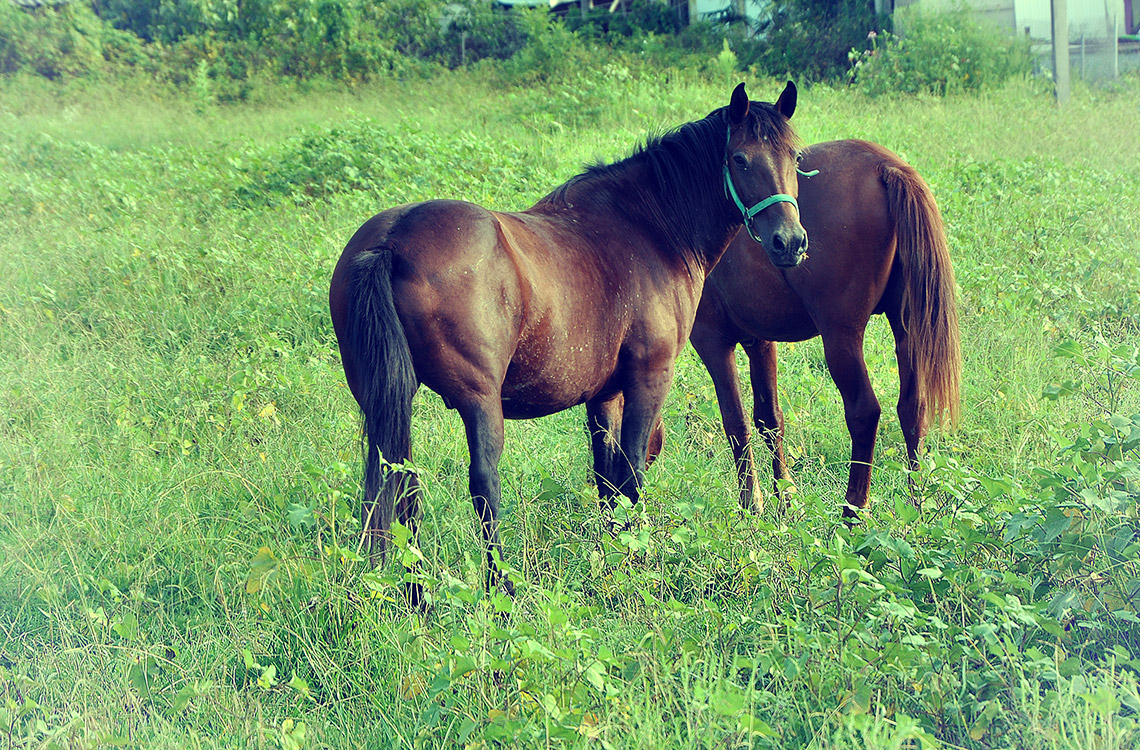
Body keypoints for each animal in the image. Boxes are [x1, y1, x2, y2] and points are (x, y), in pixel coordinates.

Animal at [332, 83, 811, 597]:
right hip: (480, 401)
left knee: (400, 485)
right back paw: (500, 588)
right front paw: (637, 559)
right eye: (740, 159)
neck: (652, 227)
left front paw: (612, 552)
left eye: (795, 156)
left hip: (386, 400)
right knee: (482, 486)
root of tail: (393, 240)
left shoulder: (604, 394)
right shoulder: (648, 379)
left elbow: (607, 478)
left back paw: (416, 593)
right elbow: (632, 472)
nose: (789, 242)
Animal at [684, 137, 962, 517]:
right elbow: (769, 419)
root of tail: (884, 166)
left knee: (864, 412)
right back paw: (916, 505)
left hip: (840, 337)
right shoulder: (759, 341)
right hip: (907, 333)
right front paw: (784, 499)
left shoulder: (712, 341)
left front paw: (752, 507)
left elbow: (736, 423)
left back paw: (852, 513)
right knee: (912, 408)